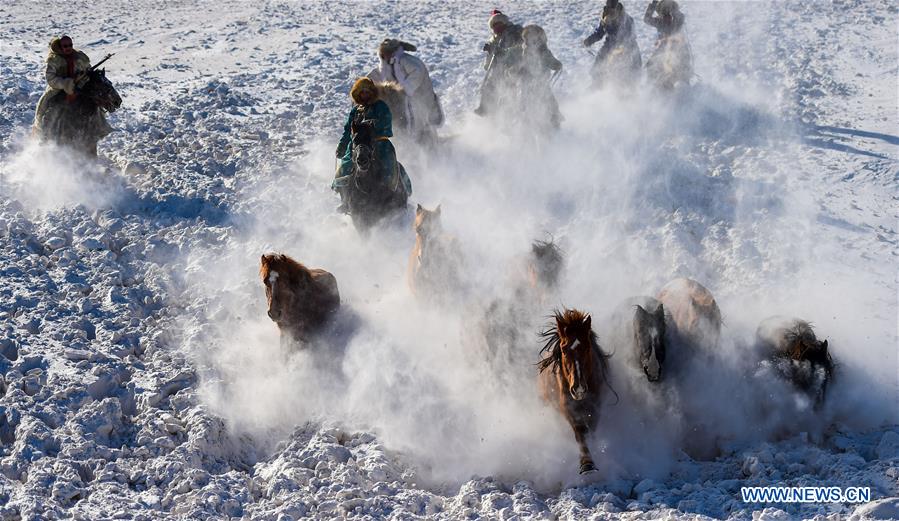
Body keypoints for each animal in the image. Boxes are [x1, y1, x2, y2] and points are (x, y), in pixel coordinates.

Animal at [536, 308, 616, 476]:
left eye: (587, 347)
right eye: (563, 349)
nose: (578, 388)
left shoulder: (595, 407)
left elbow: (590, 430)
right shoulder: (569, 409)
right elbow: (579, 433)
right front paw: (587, 464)